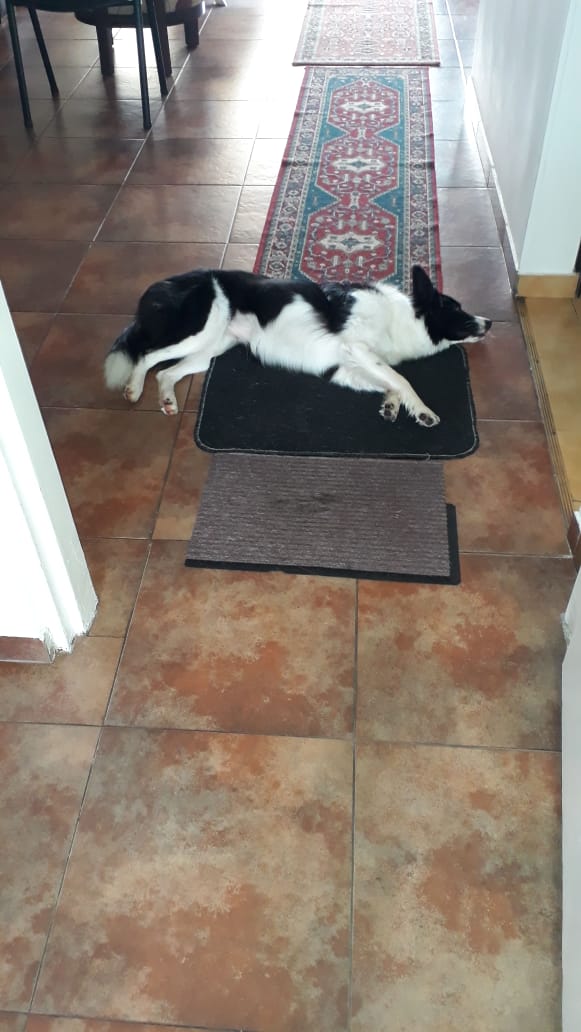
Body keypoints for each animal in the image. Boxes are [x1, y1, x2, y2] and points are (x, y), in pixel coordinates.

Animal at [104, 265, 491, 426]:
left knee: (166, 373)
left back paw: (167, 401)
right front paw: (422, 410)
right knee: (147, 355)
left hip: (211, 348)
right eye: (457, 309)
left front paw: (391, 406)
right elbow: (401, 379)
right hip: (199, 330)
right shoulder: (357, 349)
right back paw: (133, 389)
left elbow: (388, 382)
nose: (490, 322)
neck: (402, 318)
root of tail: (168, 282)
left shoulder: (346, 367)